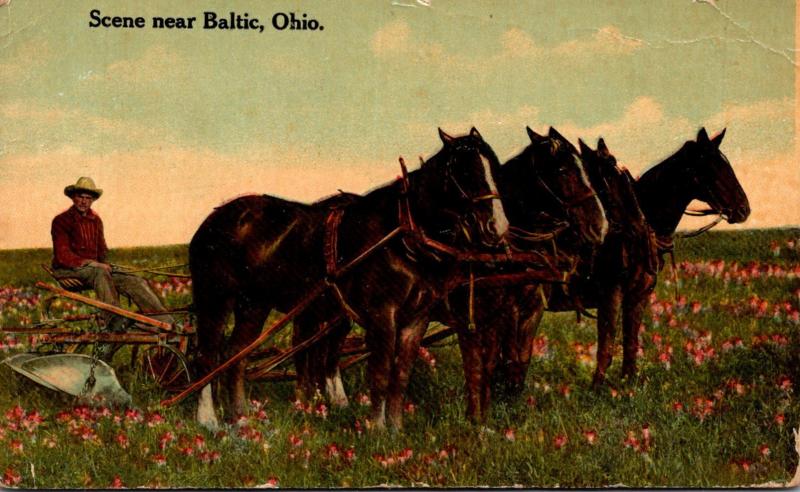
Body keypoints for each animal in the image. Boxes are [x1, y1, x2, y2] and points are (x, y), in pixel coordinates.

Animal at [190, 128, 510, 430]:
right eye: (465, 171)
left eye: (493, 167)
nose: (497, 228)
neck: (400, 236)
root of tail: (214, 219)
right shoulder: (382, 316)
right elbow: (381, 373)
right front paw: (377, 428)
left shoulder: (416, 319)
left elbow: (401, 375)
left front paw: (396, 428)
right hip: (214, 300)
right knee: (208, 357)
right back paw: (209, 420)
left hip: (254, 305)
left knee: (236, 356)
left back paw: (242, 418)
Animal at [496, 127, 748, 392]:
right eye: (711, 169)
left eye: (726, 166)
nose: (744, 209)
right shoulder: (611, 294)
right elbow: (606, 347)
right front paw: (596, 389)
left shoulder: (639, 295)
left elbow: (631, 343)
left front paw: (629, 384)